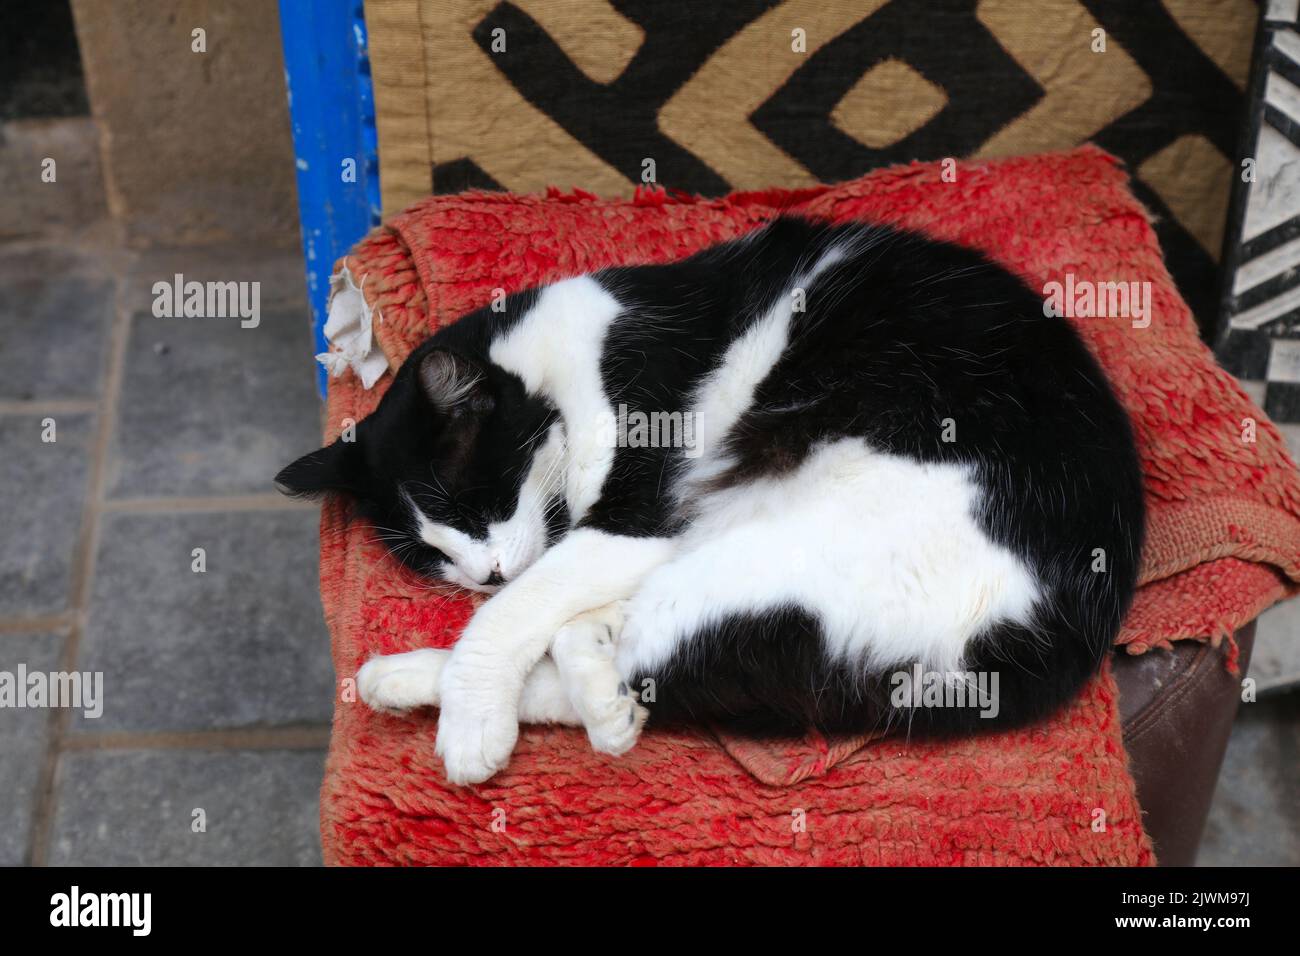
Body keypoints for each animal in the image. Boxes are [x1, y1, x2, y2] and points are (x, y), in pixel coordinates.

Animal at [274, 217, 1138, 785]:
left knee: (654, 659)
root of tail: (1059, 633)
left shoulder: (640, 510)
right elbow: (536, 602)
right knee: (648, 658)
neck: (557, 359)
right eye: (428, 553)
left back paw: (560, 693)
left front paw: (473, 716)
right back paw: (435, 679)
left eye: (476, 503)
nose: (478, 574)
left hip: (776, 554)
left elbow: (518, 608)